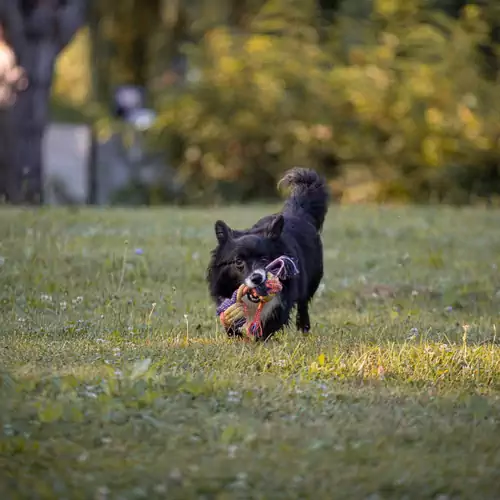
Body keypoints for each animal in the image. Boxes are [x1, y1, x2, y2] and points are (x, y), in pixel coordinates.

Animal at [206, 168, 328, 340]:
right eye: (238, 261)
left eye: (264, 259)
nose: (257, 278)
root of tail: (298, 213)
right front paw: (236, 335)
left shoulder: (282, 301)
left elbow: (269, 322)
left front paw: (259, 339)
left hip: (310, 281)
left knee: (303, 303)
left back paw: (303, 327)